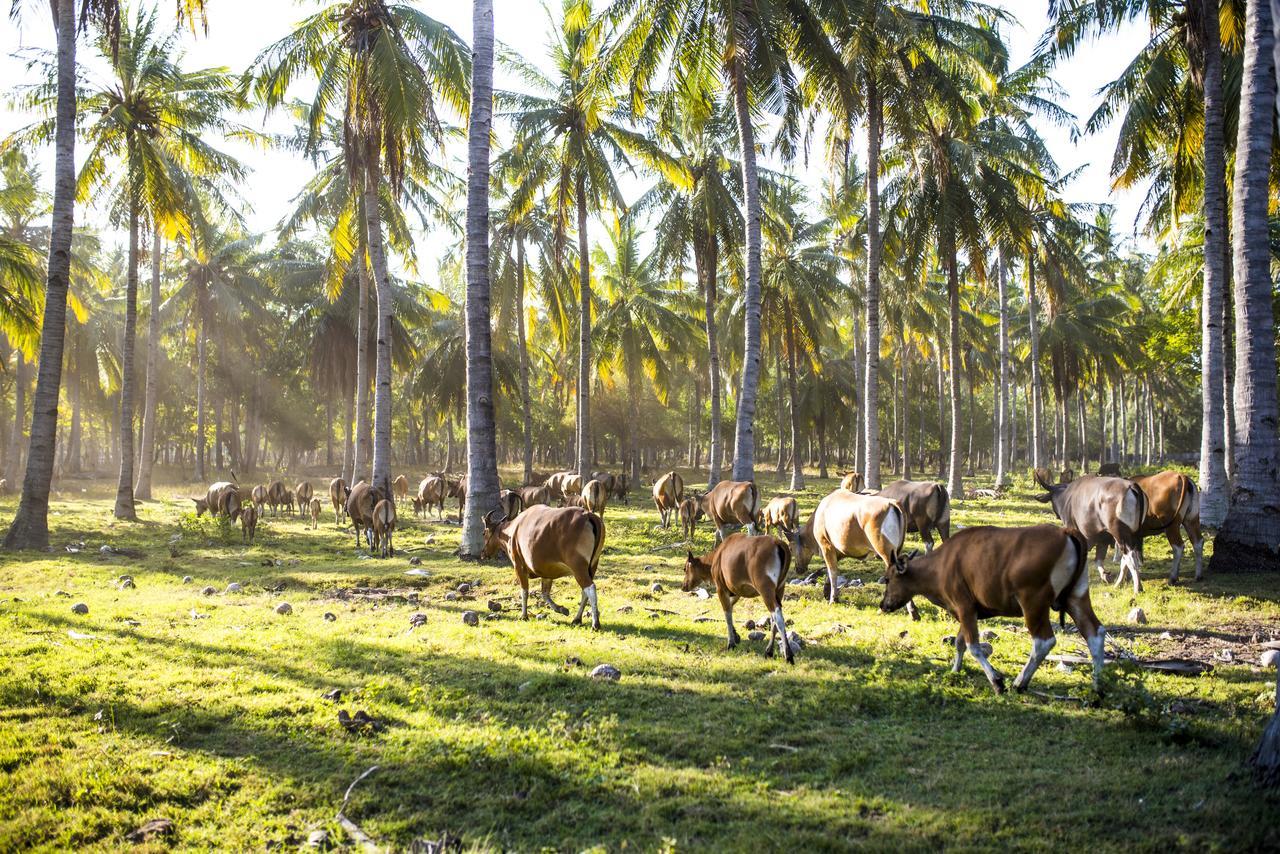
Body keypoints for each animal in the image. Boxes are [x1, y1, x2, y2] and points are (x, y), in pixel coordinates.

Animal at [481, 504, 606, 632]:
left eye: (483, 533)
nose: (483, 554)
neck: (512, 532)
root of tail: (587, 514)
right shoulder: (547, 573)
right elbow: (545, 594)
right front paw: (561, 609)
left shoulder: (519, 567)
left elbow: (524, 591)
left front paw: (524, 616)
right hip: (592, 567)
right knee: (585, 591)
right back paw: (577, 619)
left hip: (578, 567)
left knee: (590, 588)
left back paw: (595, 624)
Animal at [686, 535, 793, 665]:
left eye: (685, 569)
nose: (683, 586)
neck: (714, 560)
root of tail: (779, 544)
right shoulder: (737, 591)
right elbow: (730, 607)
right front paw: (736, 635)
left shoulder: (721, 588)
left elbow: (727, 613)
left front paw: (731, 643)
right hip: (780, 588)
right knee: (774, 618)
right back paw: (769, 651)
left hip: (765, 588)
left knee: (778, 617)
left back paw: (788, 655)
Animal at [875, 524, 1105, 696]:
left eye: (887, 579)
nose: (883, 604)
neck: (941, 565)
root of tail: (1066, 532)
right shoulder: (968, 611)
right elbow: (959, 643)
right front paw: (955, 671)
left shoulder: (965, 607)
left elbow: (973, 647)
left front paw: (996, 681)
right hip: (1077, 596)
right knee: (1095, 632)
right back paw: (1097, 687)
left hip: (1033, 602)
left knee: (1044, 641)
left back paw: (1019, 683)